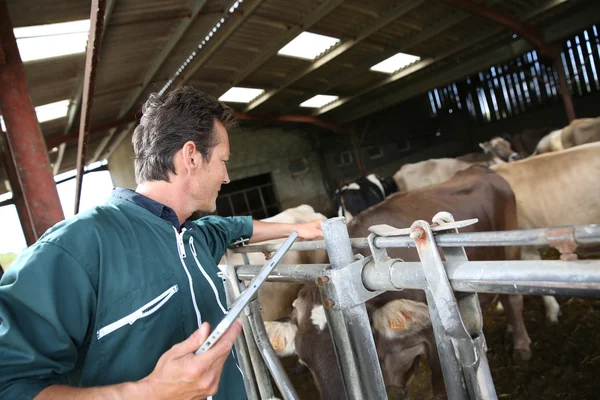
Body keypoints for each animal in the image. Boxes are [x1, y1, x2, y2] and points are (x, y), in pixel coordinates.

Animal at [268, 165, 528, 396]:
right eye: (305, 361)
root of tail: (479, 168)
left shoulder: (437, 345)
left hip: (510, 252)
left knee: (513, 299)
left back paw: (521, 344)